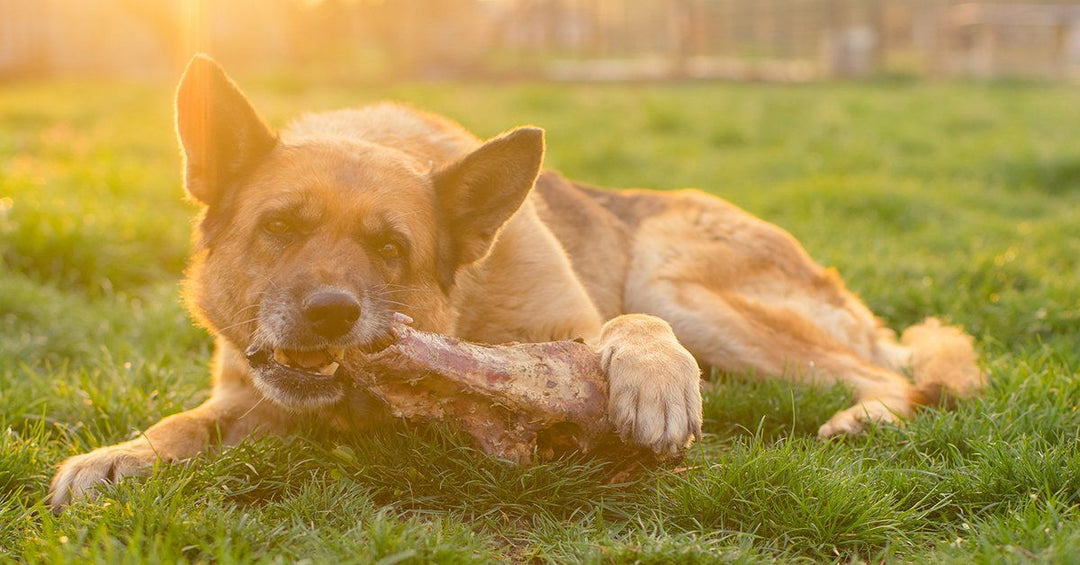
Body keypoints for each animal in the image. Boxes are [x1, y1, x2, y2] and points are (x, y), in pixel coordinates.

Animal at [46, 56, 984, 507]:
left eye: (391, 248)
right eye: (279, 228)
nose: (331, 314)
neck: (462, 307)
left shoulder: (578, 321)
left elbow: (618, 333)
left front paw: (652, 380)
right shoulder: (251, 397)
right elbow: (182, 423)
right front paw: (124, 454)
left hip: (675, 284)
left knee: (893, 374)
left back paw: (860, 414)